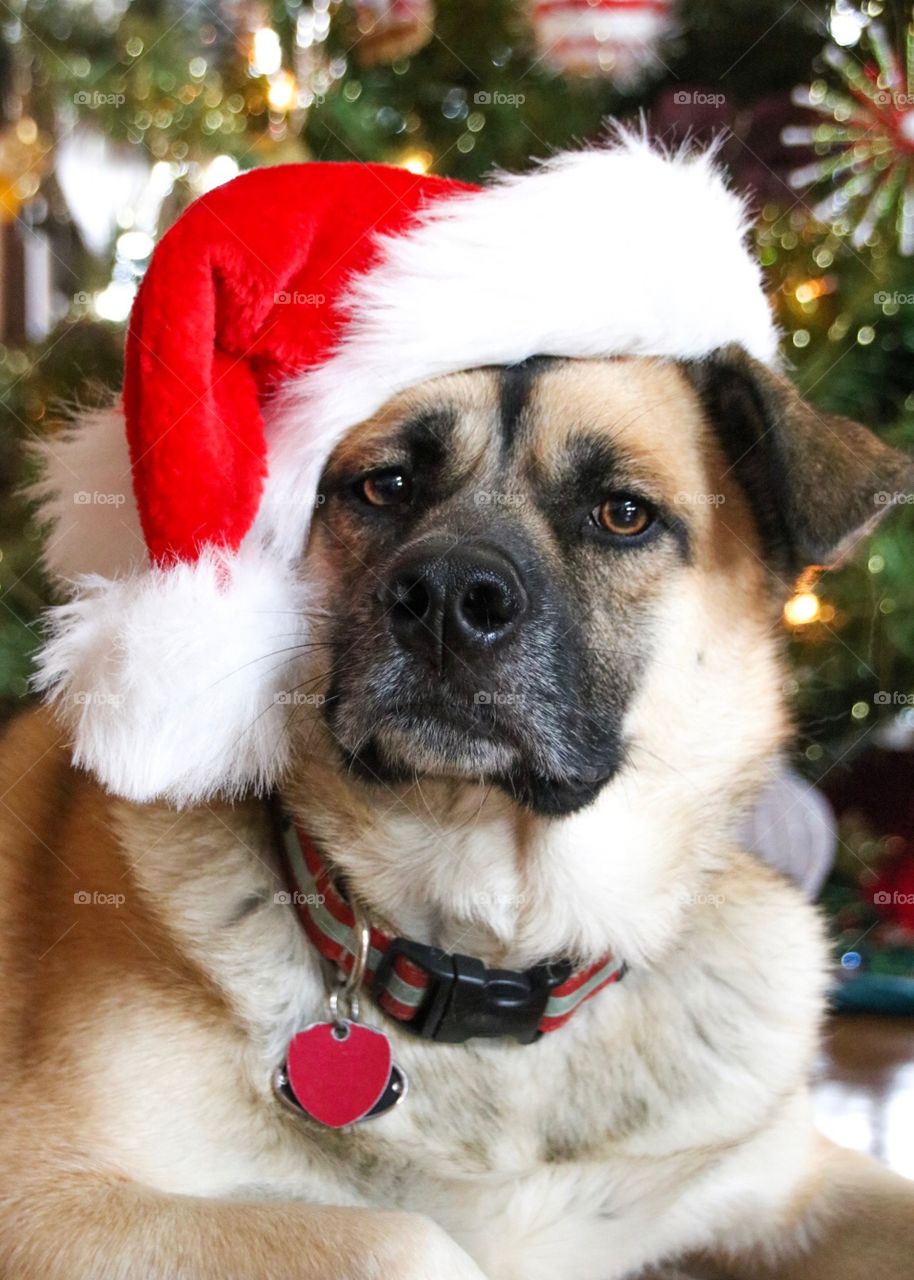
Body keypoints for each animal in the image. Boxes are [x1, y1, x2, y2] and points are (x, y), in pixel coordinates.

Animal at [1, 345, 911, 1274]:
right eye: (386, 486)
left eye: (623, 514)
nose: (443, 596)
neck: (494, 949)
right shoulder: (47, 1198)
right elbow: (411, 1239)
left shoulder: (800, 1177)